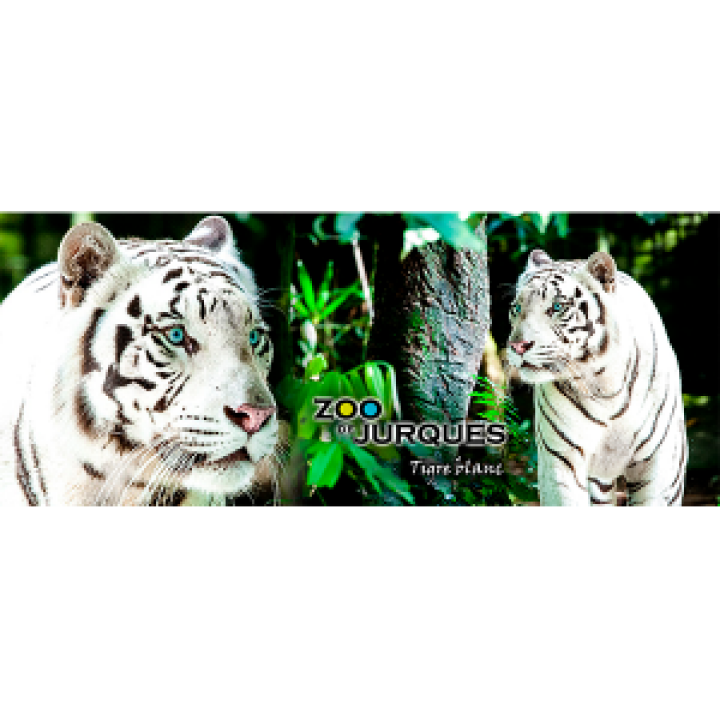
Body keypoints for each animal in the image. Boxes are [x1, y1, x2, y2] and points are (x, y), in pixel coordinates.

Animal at [506, 248, 687, 506]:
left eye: (557, 306)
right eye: (516, 308)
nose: (517, 346)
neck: (603, 384)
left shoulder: (659, 465)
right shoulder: (561, 457)